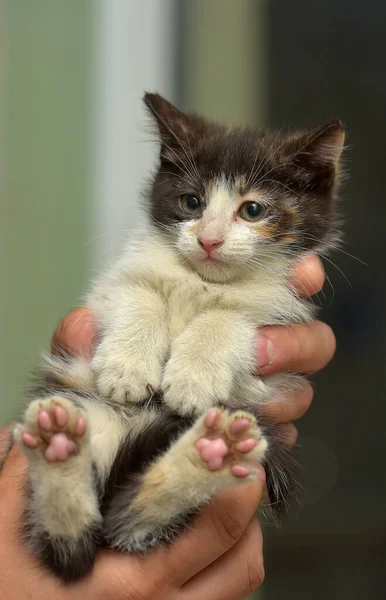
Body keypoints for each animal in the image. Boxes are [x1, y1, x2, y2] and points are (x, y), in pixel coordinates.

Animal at [12, 94, 344, 580]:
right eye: (191, 202)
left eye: (253, 210)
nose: (209, 240)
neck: (202, 281)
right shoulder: (108, 291)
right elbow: (138, 294)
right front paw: (127, 369)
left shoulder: (281, 318)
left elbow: (230, 319)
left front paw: (192, 380)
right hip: (81, 405)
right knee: (79, 539)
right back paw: (60, 447)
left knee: (127, 518)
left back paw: (209, 453)